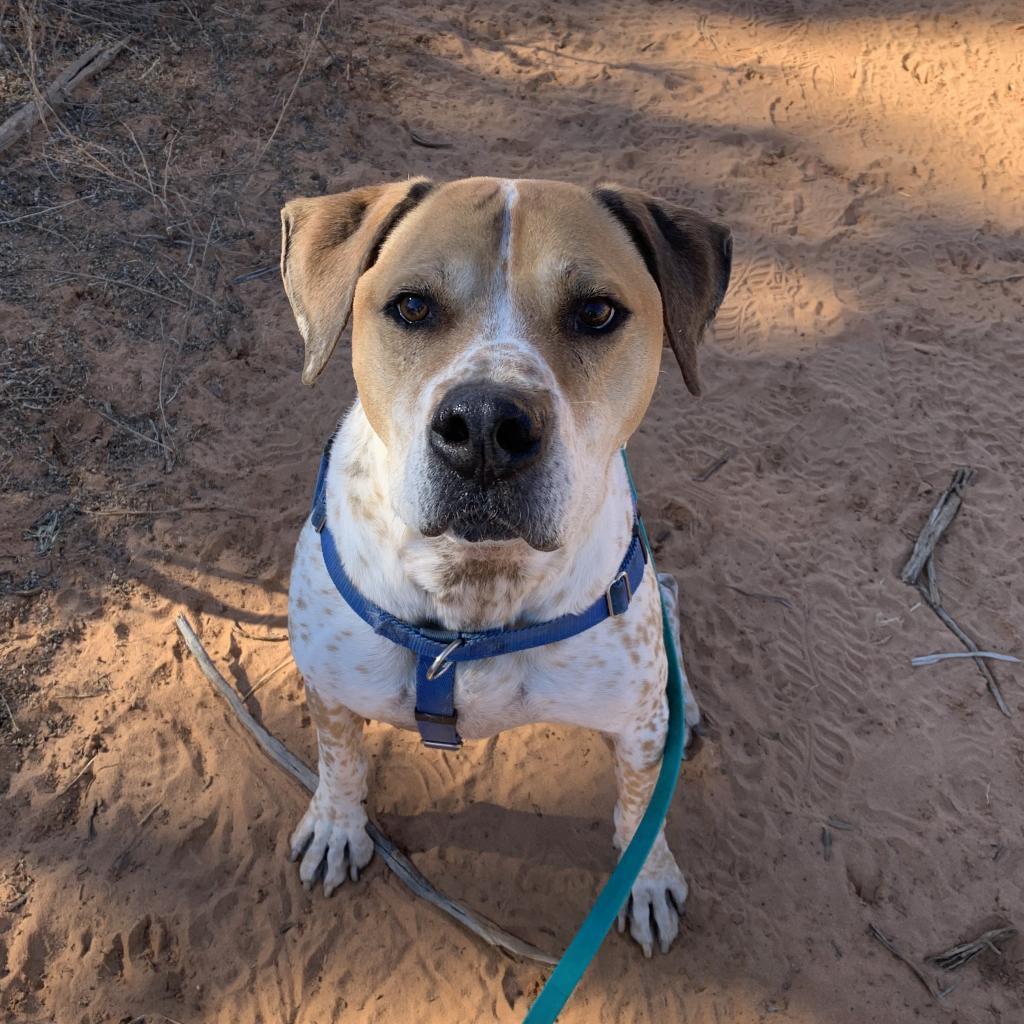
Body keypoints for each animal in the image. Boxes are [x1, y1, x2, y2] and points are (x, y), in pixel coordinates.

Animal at [278, 178, 729, 958]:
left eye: (596, 312)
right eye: (412, 307)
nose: (487, 426)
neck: (474, 590)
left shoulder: (634, 728)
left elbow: (640, 810)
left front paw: (645, 880)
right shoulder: (330, 689)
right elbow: (340, 760)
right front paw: (337, 825)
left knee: (668, 601)